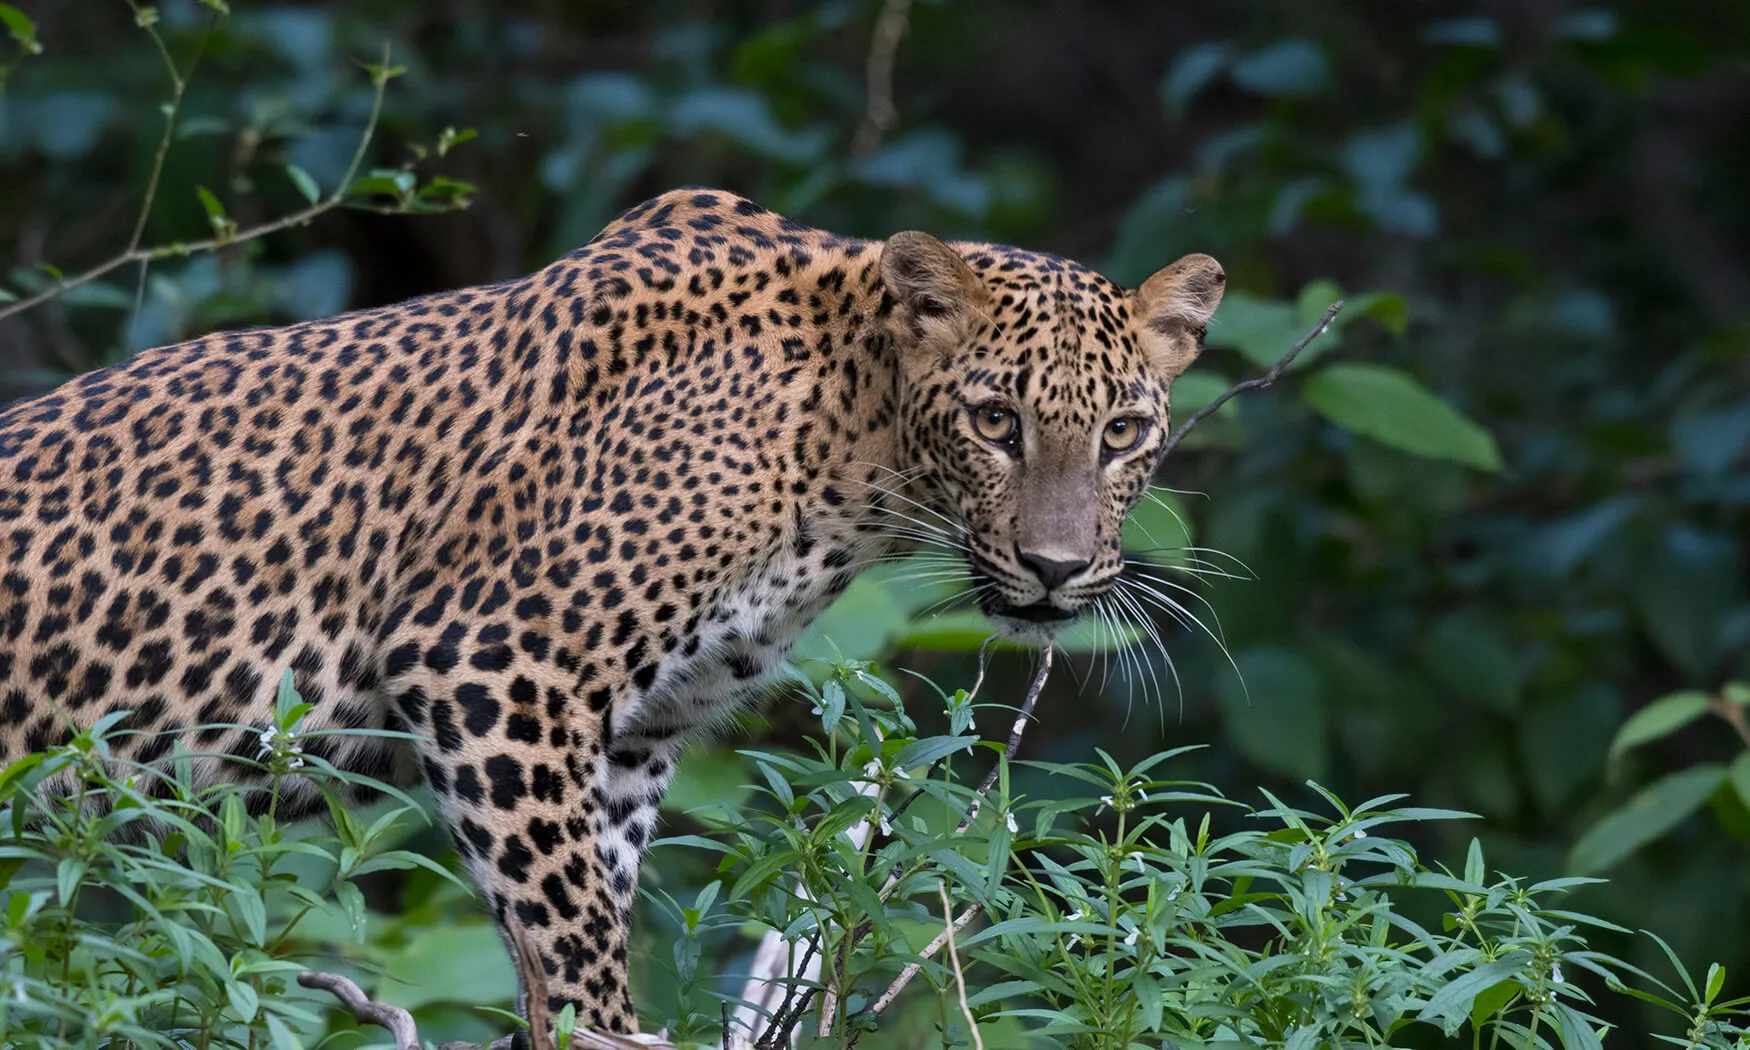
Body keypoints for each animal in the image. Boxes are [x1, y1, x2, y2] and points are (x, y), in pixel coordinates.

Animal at [0, 187, 1225, 1034]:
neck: (852, 445)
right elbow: (573, 939)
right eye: (994, 421)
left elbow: (585, 912)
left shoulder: (636, 735)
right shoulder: (490, 666)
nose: (1055, 567)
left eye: (1122, 432)